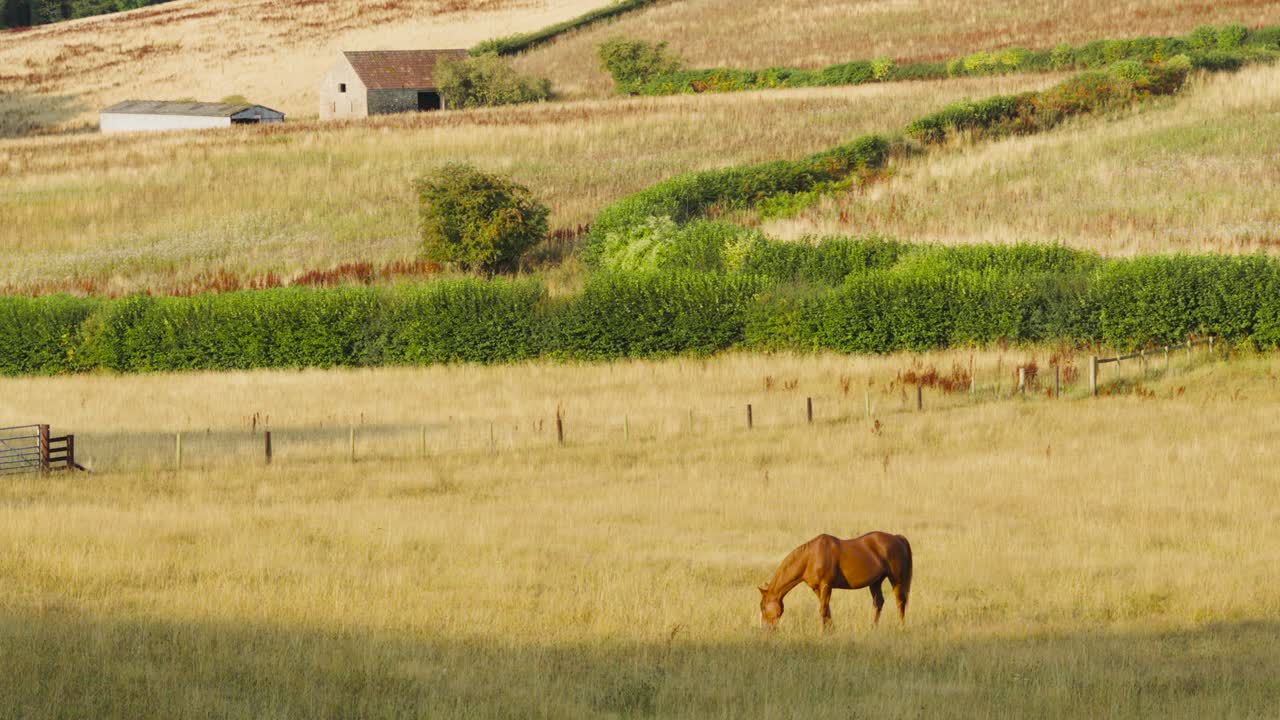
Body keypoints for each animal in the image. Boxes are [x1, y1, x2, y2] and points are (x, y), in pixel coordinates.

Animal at [758, 532, 912, 630]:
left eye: (763, 607)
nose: (766, 629)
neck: (810, 557)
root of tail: (897, 538)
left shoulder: (826, 585)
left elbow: (823, 610)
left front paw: (822, 633)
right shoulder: (817, 588)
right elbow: (827, 610)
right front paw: (830, 631)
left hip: (896, 579)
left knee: (900, 602)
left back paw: (901, 628)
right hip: (875, 582)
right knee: (878, 603)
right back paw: (873, 628)